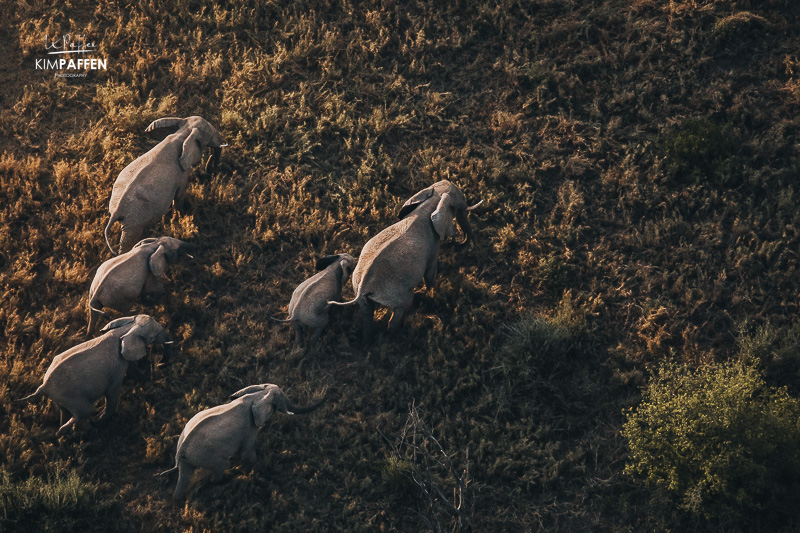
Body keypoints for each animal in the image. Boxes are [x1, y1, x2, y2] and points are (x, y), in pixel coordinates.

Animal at [17, 314, 173, 434]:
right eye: (153, 337)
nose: (160, 364)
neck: (126, 328)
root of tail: (43, 386)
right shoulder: (116, 366)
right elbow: (112, 391)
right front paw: (98, 421)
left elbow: (133, 370)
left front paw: (148, 379)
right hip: (72, 396)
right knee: (83, 412)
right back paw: (69, 433)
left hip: (60, 397)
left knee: (65, 412)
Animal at [104, 115, 225, 252]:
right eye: (210, 135)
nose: (210, 170)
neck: (184, 132)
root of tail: (116, 212)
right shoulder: (181, 173)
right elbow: (179, 196)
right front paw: (181, 218)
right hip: (134, 220)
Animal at [158, 382, 324, 498]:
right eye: (280, 402)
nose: (325, 397)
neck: (259, 393)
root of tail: (180, 452)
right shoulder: (249, 428)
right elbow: (247, 453)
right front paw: (258, 469)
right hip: (205, 455)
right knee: (221, 466)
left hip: (190, 458)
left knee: (184, 475)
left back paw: (177, 499)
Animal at [326, 178, 478, 336]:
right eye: (459, 203)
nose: (456, 242)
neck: (432, 201)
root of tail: (363, 287)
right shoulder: (433, 246)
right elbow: (430, 274)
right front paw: (432, 296)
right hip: (394, 294)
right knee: (404, 305)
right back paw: (397, 333)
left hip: (360, 291)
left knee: (367, 315)